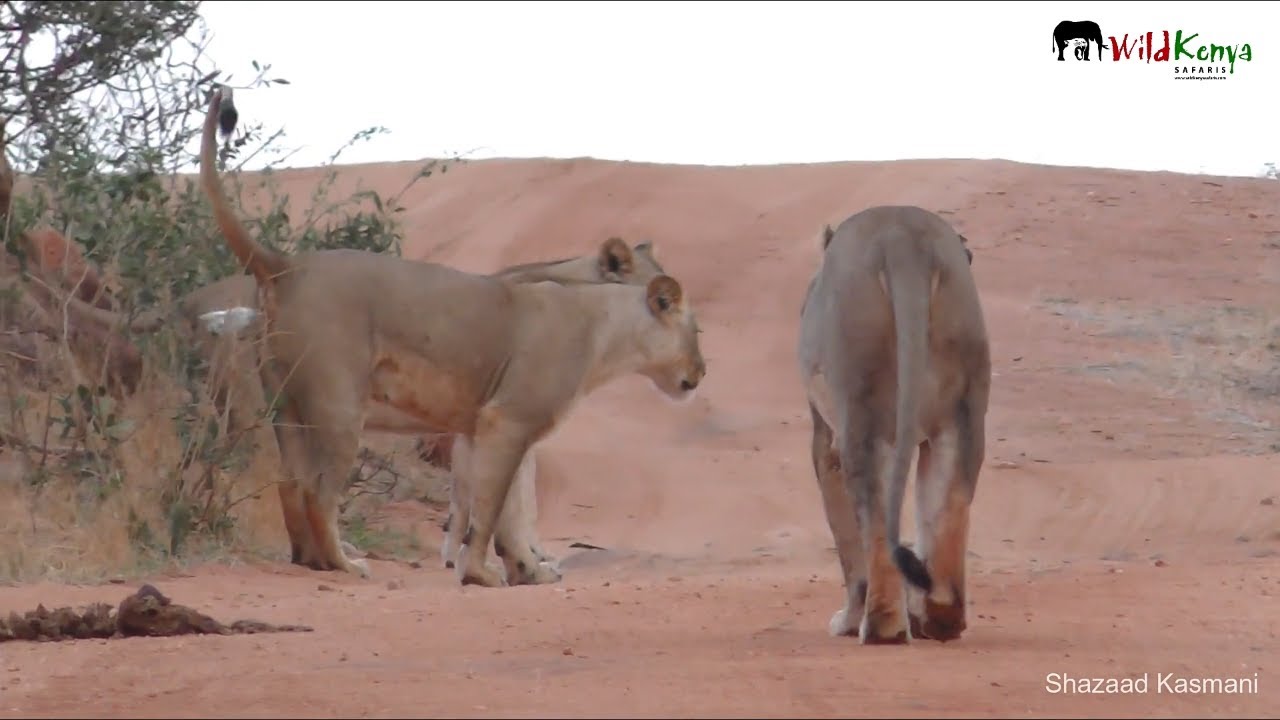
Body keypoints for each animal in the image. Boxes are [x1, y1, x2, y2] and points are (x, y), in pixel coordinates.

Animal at [199, 85, 706, 586]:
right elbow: (499, 504)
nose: (701, 373)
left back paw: (312, 558)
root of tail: (287, 264)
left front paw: (522, 566)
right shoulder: (503, 419)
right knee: (319, 490)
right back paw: (345, 564)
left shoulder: (479, 424)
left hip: (286, 405)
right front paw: (496, 569)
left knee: (290, 482)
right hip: (337, 406)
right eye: (693, 328)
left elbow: (504, 500)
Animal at [796, 205, 990, 645]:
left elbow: (846, 536)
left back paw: (879, 628)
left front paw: (847, 621)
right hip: (961, 414)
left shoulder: (826, 437)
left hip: (862, 413)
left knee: (876, 525)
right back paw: (938, 620)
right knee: (950, 505)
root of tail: (902, 236)